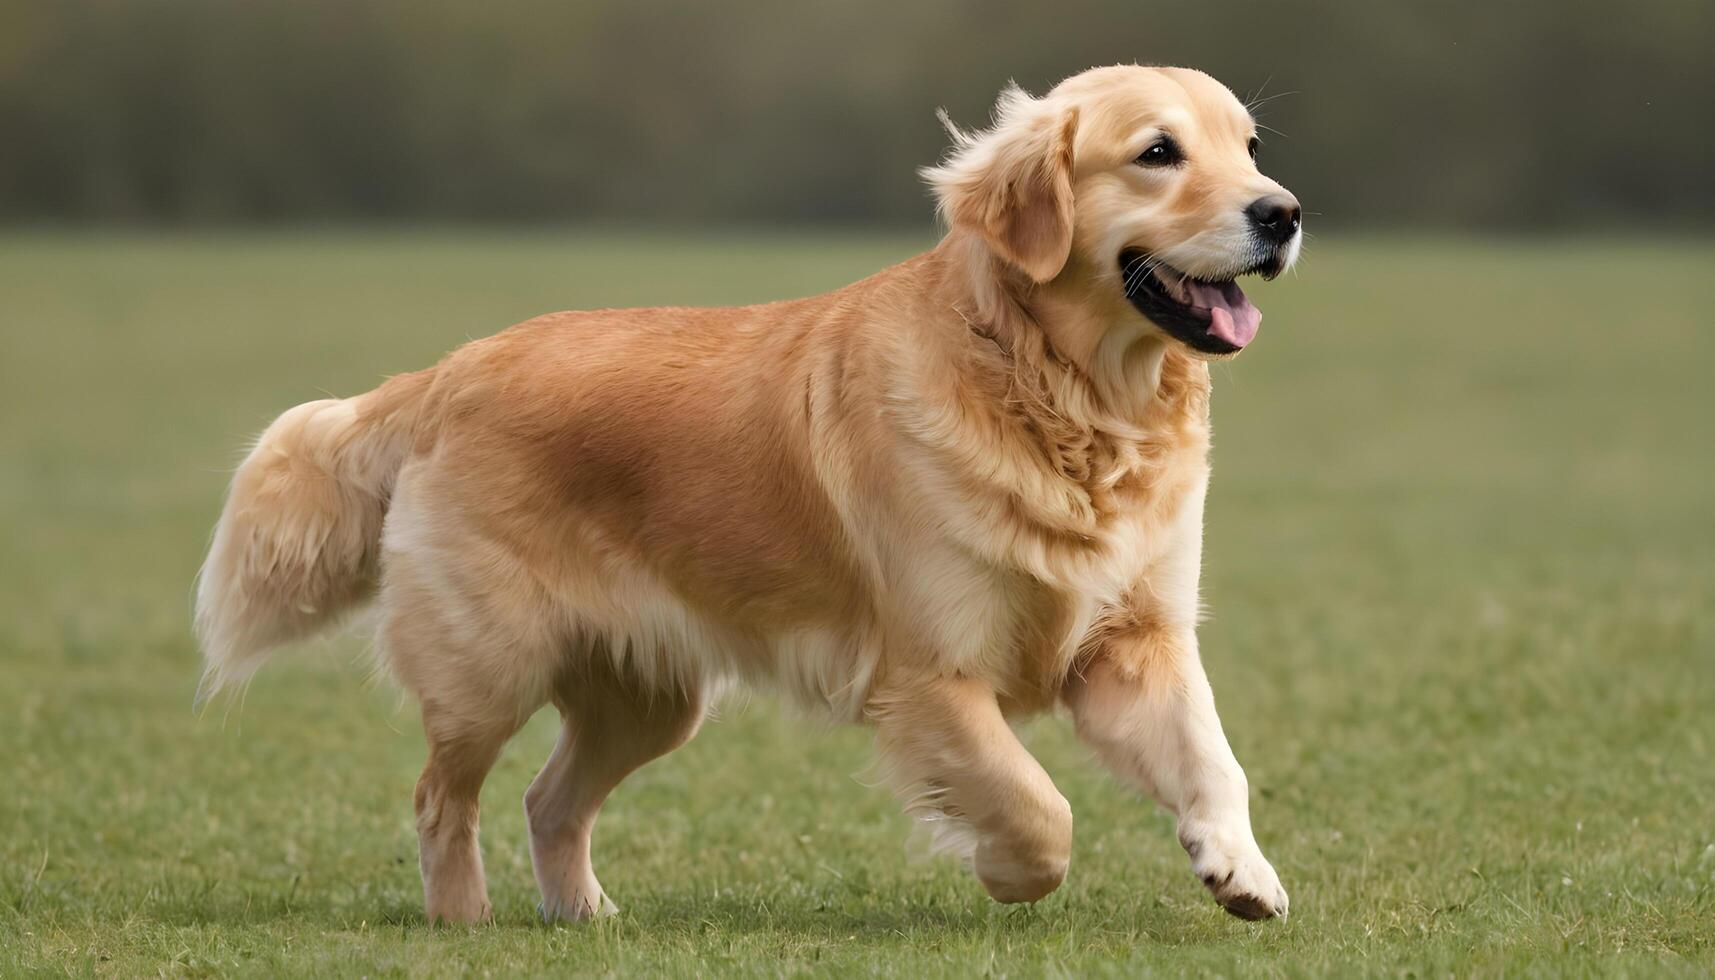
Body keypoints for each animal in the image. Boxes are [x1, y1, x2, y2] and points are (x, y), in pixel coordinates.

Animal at [194, 65, 1296, 926]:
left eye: (1245, 147)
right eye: (1157, 152)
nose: (1281, 213)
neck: (1066, 396)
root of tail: (444, 372)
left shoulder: (1135, 640)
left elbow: (1213, 758)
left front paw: (1238, 866)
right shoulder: (930, 672)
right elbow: (1037, 808)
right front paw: (1001, 870)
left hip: (649, 696)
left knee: (550, 800)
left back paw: (582, 911)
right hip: (489, 668)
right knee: (440, 799)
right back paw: (463, 917)